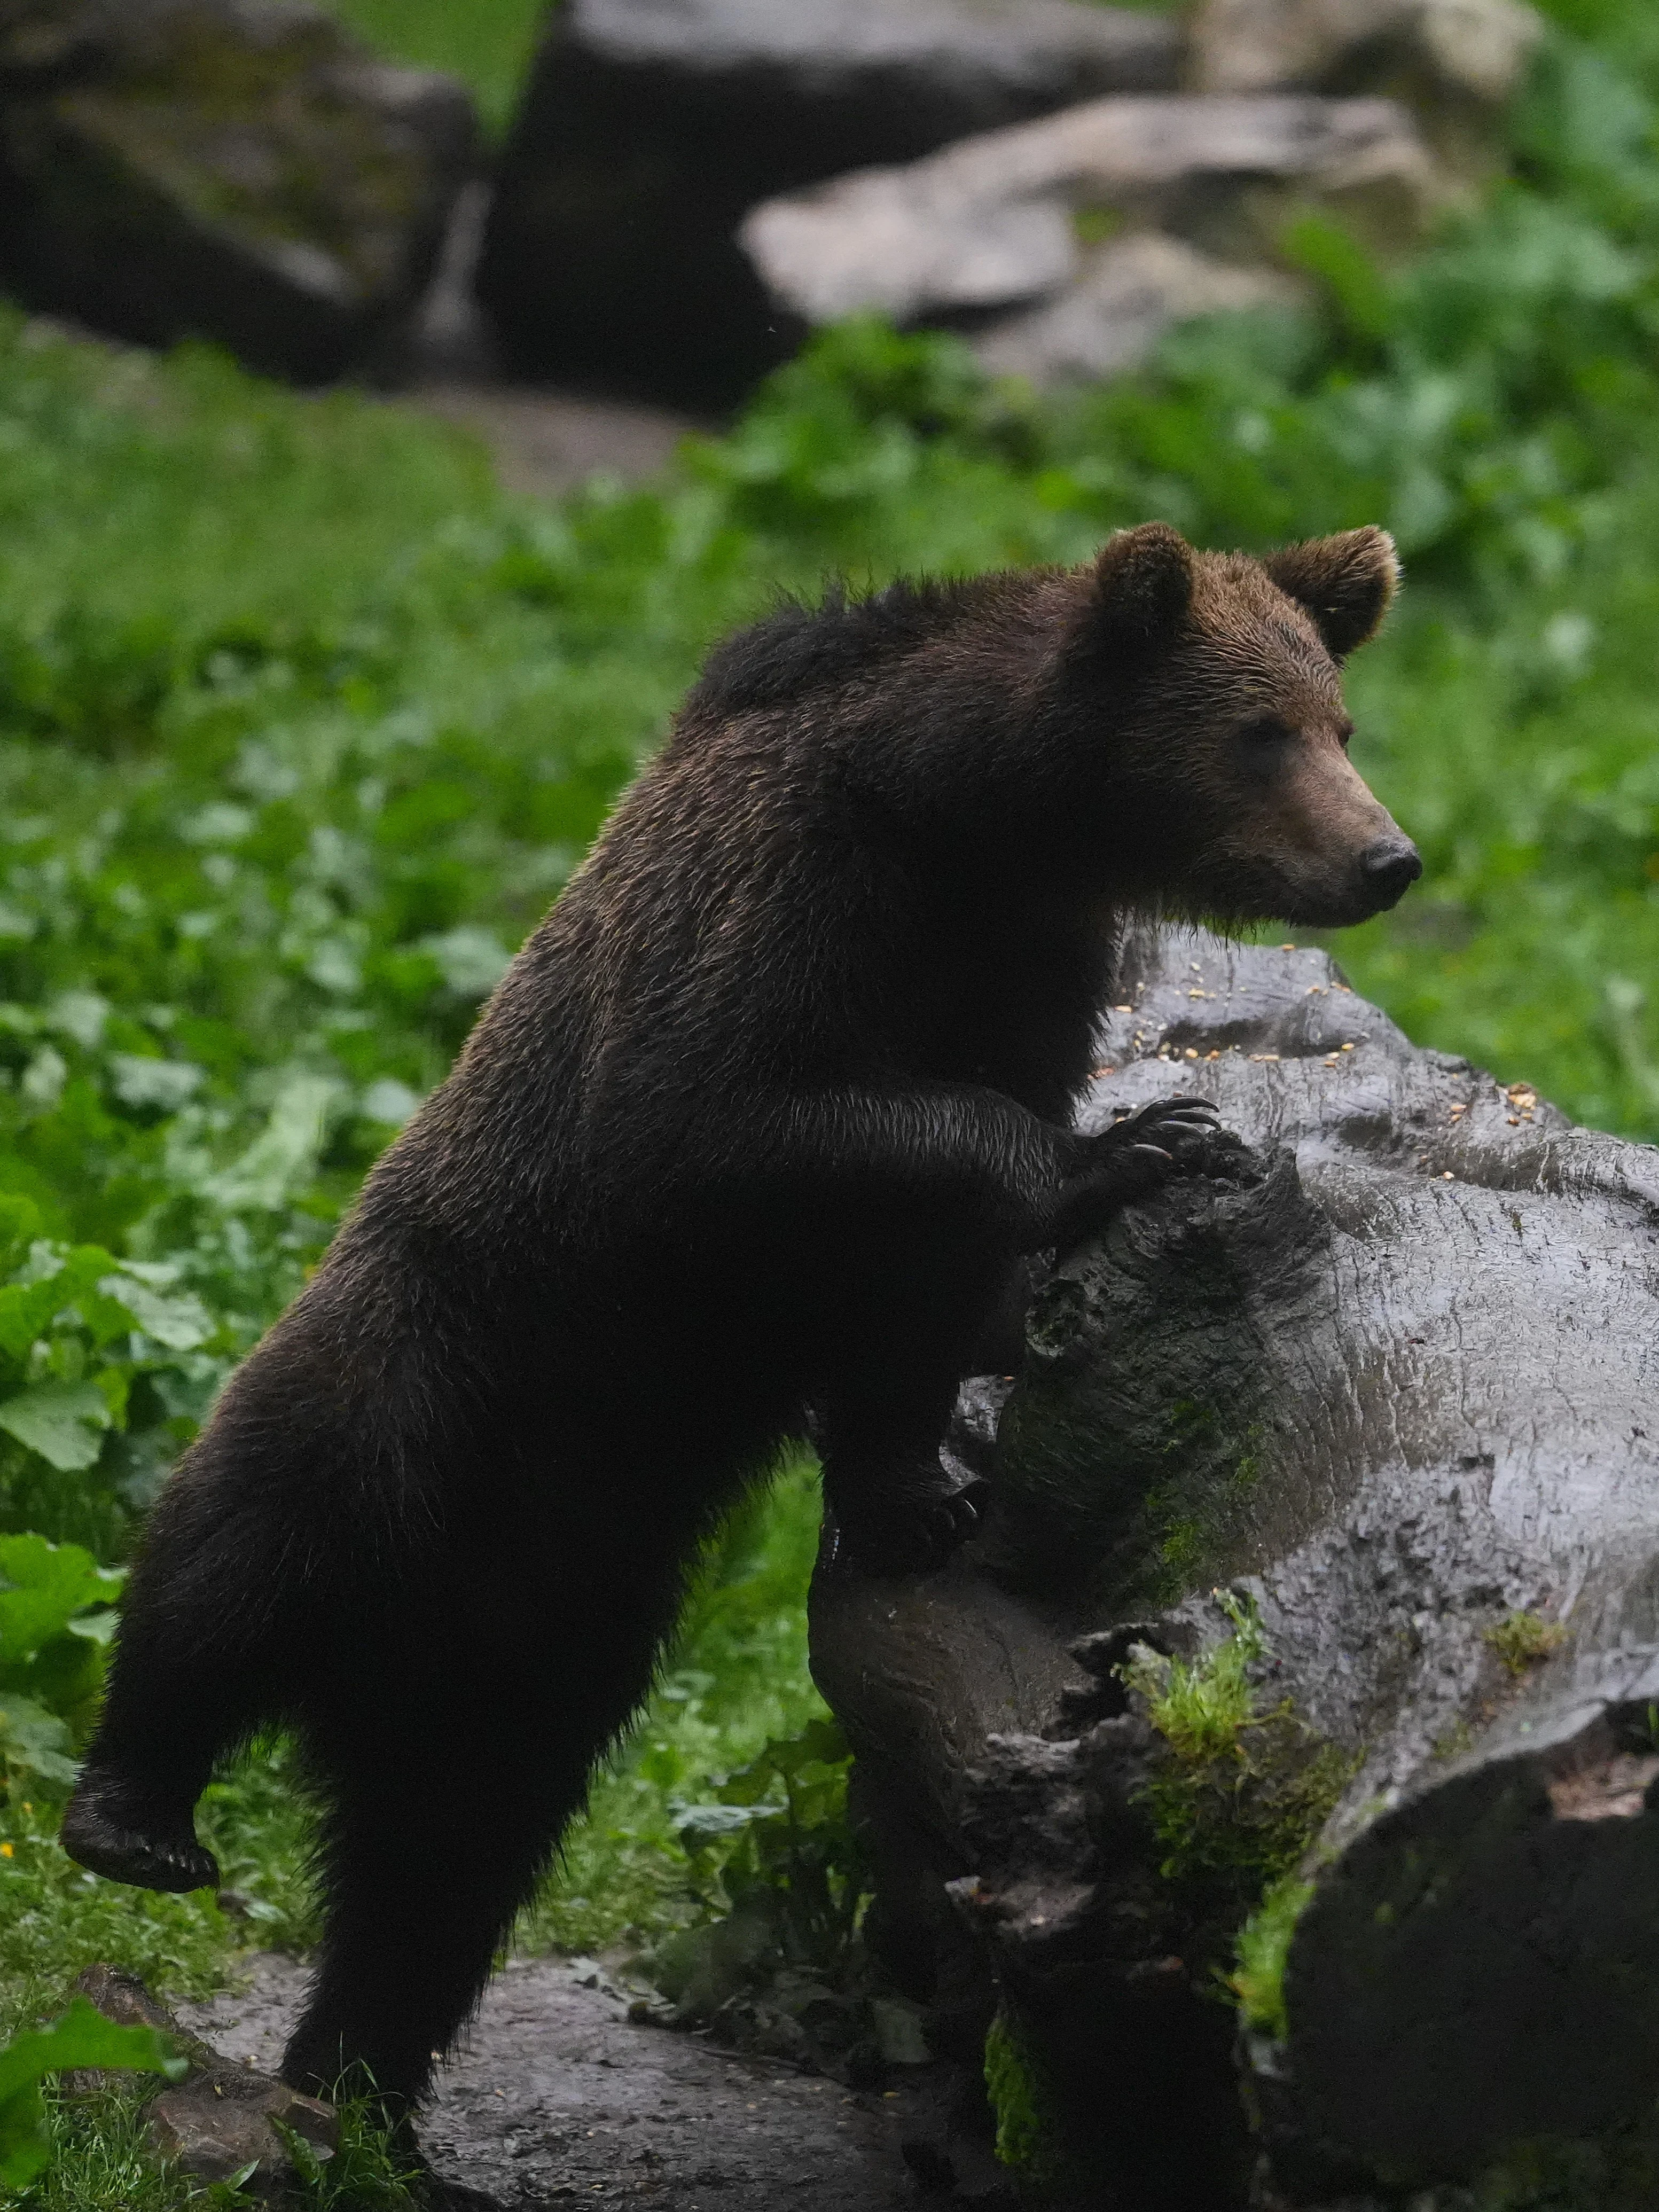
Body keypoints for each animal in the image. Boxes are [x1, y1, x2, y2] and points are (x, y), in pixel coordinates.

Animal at [61, 520, 1418, 2115]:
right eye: (1259, 732)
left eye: (1339, 721)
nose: (1384, 857)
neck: (973, 819)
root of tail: (397, 1643)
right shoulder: (779, 914)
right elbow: (738, 1114)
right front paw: (1147, 1139)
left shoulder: (1024, 958)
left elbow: (920, 1298)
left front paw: (919, 1497)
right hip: (428, 1374)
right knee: (236, 1549)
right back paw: (135, 1812)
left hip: (561, 1624)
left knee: (451, 1850)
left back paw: (360, 2077)